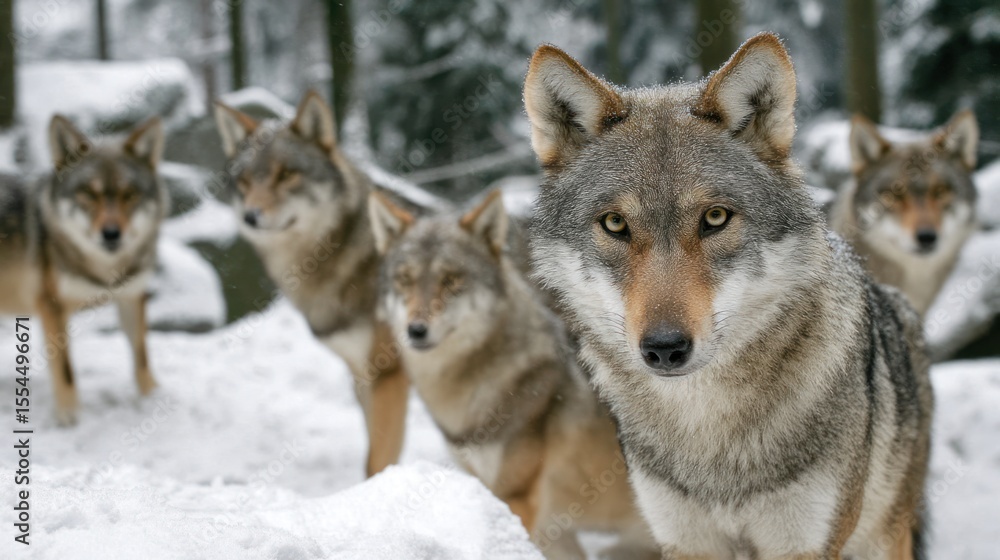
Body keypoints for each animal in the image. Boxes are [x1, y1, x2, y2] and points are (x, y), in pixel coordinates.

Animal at [0, 115, 168, 424]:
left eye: (129, 194)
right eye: (89, 193)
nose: (111, 234)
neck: (104, 270)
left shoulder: (132, 297)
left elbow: (142, 356)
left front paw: (153, 398)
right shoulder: (51, 307)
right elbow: (65, 370)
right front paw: (69, 417)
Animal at [214, 91, 417, 477]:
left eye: (286, 174)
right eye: (245, 181)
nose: (250, 216)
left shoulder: (389, 375)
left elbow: (379, 459)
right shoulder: (361, 376)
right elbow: (371, 455)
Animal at [523, 33, 933, 559]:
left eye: (715, 218)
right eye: (615, 224)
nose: (665, 348)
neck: (707, 429)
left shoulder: (803, 544)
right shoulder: (685, 539)